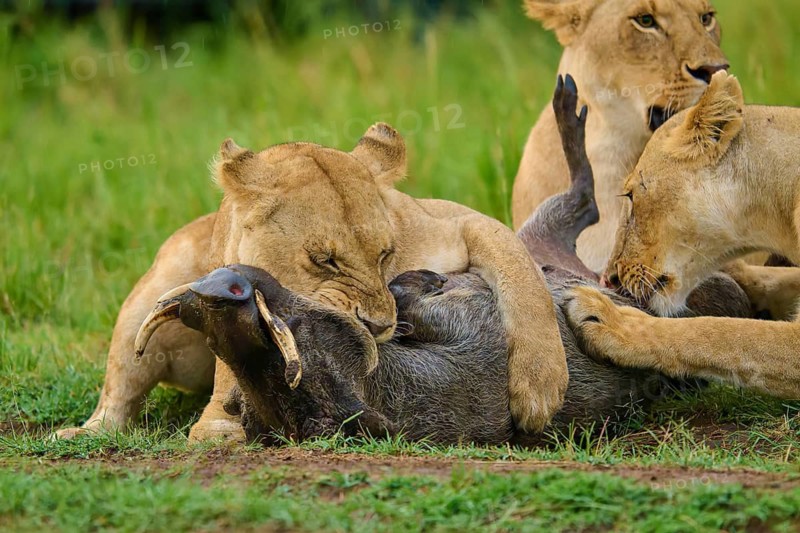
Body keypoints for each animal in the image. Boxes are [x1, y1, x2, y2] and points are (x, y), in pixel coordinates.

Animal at [56, 123, 567, 441]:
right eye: (324, 260)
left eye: (385, 253)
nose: (380, 325)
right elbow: (228, 366)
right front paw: (220, 426)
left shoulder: (457, 221)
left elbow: (523, 275)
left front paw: (540, 390)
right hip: (153, 291)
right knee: (118, 393)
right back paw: (82, 432)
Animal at [564, 71, 800, 398]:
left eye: (630, 196)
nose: (608, 278)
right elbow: (773, 280)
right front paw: (736, 271)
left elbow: (725, 333)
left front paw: (612, 321)